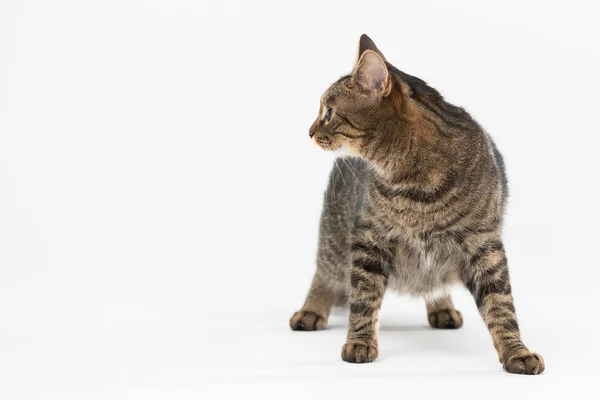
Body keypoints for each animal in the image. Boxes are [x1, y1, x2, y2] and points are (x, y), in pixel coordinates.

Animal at [290, 34, 544, 376]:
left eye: (328, 111)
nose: (309, 131)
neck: (417, 186)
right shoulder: (369, 240)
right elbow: (363, 297)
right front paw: (359, 342)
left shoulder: (484, 245)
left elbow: (501, 304)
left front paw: (516, 351)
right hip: (335, 231)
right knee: (324, 273)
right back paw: (311, 310)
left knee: (433, 281)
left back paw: (442, 306)